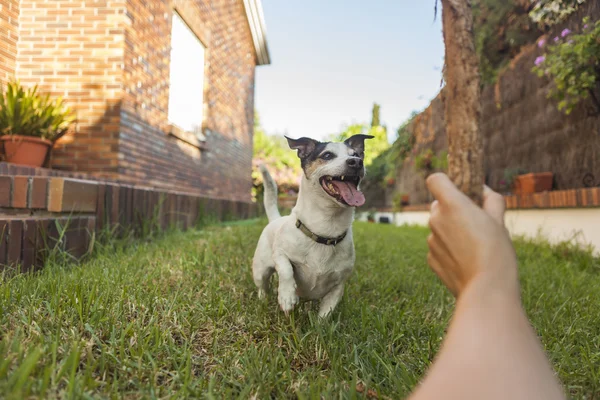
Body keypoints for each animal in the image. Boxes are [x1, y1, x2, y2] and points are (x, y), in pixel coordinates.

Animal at [251, 134, 372, 318]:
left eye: (357, 155)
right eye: (327, 155)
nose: (356, 162)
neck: (325, 229)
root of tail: (275, 219)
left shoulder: (338, 286)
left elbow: (326, 312)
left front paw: (319, 324)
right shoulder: (280, 254)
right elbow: (286, 269)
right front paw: (287, 296)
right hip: (260, 270)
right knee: (262, 286)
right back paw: (263, 301)